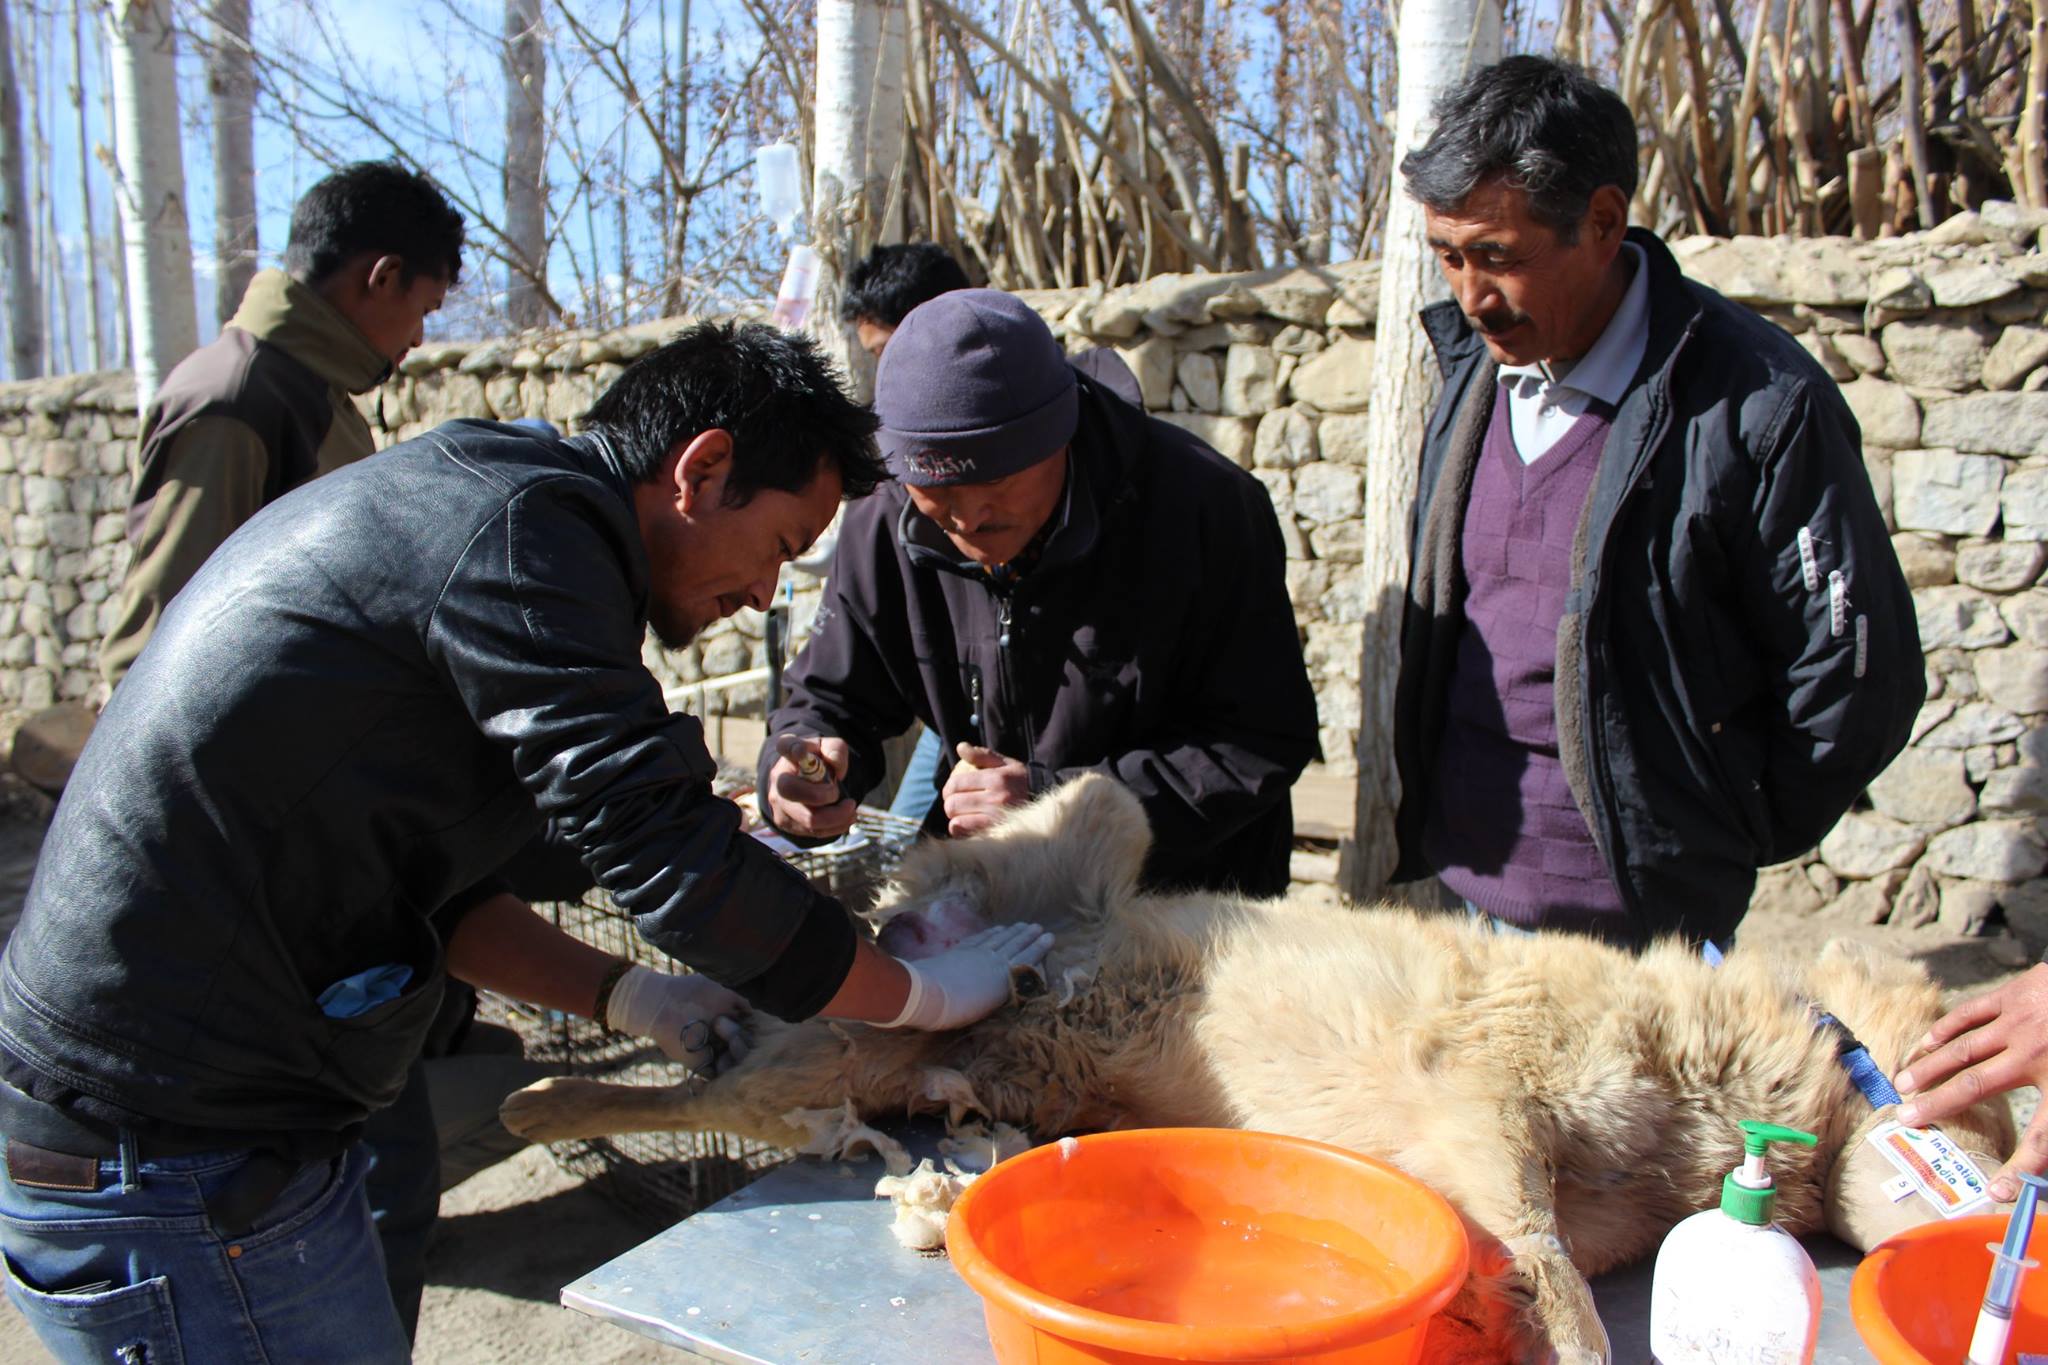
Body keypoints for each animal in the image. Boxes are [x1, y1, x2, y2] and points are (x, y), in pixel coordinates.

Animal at [499, 773, 2015, 1358]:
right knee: (732, 1051)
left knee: (735, 1082)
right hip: (1067, 841)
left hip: (860, 1058)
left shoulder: (1523, 1174)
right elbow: (1557, 1273)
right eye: (2002, 1116)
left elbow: (1541, 1267)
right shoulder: (1489, 1095)